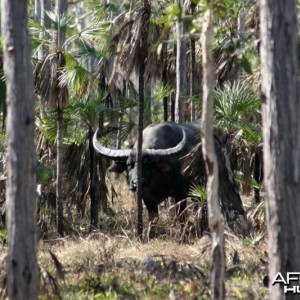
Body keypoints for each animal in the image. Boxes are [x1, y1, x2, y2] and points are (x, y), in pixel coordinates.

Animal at [94, 120, 248, 236]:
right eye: (128, 165)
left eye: (147, 164)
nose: (136, 183)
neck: (157, 180)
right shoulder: (147, 197)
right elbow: (153, 218)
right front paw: (150, 235)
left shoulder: (180, 193)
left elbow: (182, 216)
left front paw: (184, 236)